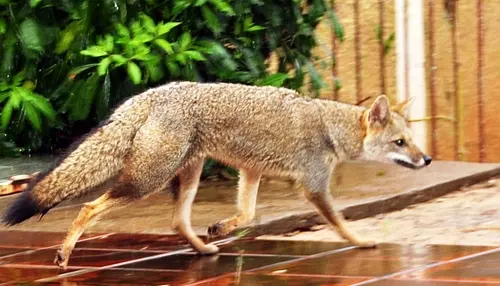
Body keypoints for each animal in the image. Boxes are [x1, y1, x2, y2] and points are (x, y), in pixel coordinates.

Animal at [1, 81, 430, 268]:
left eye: (412, 140)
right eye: (400, 142)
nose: (426, 160)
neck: (329, 125)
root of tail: (147, 94)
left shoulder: (251, 171)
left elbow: (249, 214)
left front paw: (221, 227)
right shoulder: (313, 188)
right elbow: (340, 224)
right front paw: (362, 242)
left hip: (185, 176)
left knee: (177, 222)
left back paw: (203, 249)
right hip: (147, 181)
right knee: (89, 207)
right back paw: (64, 254)